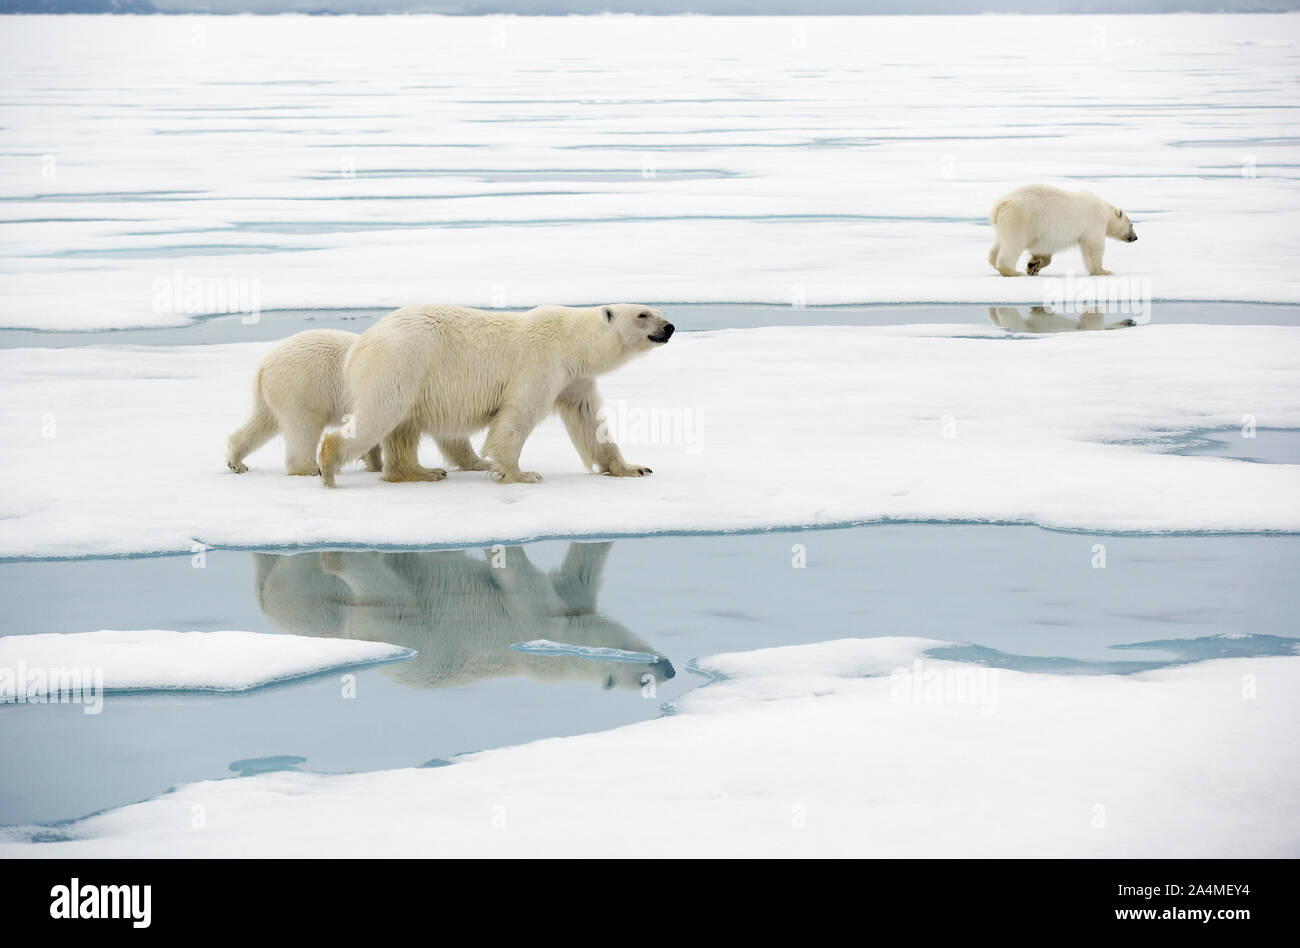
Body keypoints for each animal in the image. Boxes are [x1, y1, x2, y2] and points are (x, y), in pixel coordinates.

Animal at [317, 303, 674, 488]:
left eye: (656, 309)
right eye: (642, 315)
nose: (670, 326)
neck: (571, 341)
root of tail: (360, 345)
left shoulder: (575, 379)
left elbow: (589, 421)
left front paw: (633, 468)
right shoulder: (541, 364)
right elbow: (518, 415)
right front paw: (521, 473)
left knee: (403, 428)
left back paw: (421, 472)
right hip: (401, 362)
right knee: (381, 414)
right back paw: (330, 467)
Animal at [988, 184, 1137, 277]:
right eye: (1132, 225)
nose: (1135, 237)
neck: (1104, 210)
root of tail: (999, 205)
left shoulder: (1046, 234)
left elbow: (1044, 253)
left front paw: (1033, 266)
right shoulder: (1094, 223)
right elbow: (1093, 247)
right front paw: (1103, 271)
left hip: (1005, 223)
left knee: (999, 243)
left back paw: (993, 262)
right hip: (1021, 218)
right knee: (1014, 244)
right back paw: (1013, 272)